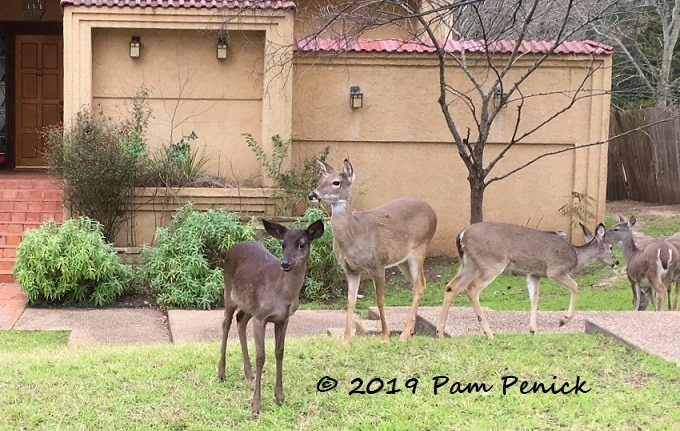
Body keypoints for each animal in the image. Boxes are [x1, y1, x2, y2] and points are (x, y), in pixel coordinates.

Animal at [218, 219, 324, 416]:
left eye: (302, 244)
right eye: (283, 244)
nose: (285, 263)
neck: (282, 296)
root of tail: (232, 247)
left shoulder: (283, 318)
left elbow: (279, 352)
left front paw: (280, 397)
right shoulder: (261, 317)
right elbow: (261, 357)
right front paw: (256, 405)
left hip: (250, 304)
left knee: (240, 319)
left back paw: (249, 374)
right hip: (228, 292)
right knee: (226, 323)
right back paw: (221, 373)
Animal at [306, 159, 436, 348]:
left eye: (336, 182)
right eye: (323, 179)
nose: (312, 194)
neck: (355, 235)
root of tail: (433, 213)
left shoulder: (378, 263)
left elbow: (380, 299)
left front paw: (385, 336)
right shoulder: (351, 269)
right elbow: (350, 301)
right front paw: (346, 341)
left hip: (420, 249)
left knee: (419, 285)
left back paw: (403, 335)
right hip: (402, 260)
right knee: (420, 283)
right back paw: (410, 331)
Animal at [436, 221, 616, 340]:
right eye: (611, 247)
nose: (616, 262)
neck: (576, 257)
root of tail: (462, 235)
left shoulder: (533, 274)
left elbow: (534, 298)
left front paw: (533, 330)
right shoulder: (554, 270)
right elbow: (576, 286)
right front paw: (563, 320)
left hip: (469, 263)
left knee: (451, 286)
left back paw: (440, 333)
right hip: (492, 262)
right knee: (472, 288)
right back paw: (489, 332)